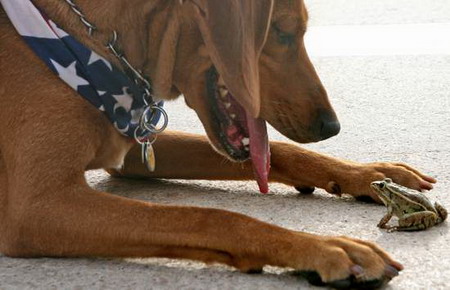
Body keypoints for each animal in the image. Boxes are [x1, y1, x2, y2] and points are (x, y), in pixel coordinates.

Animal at [0, 0, 436, 288]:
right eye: (282, 32)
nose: (331, 126)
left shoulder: (134, 149)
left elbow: (280, 152)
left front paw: (371, 174)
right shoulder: (35, 206)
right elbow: (209, 217)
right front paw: (324, 247)